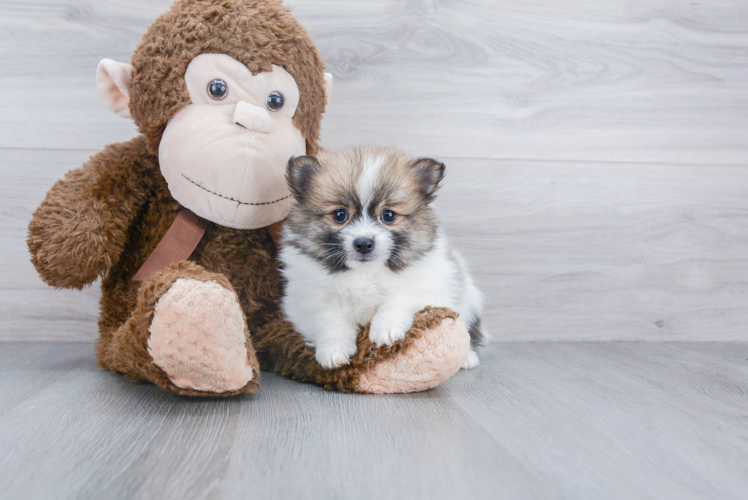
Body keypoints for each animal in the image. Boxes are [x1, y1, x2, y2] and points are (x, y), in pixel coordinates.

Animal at [278, 146, 482, 370]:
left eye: (388, 215)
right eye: (340, 215)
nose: (364, 243)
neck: (364, 273)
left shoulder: (426, 287)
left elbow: (396, 301)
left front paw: (386, 329)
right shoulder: (307, 302)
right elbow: (331, 322)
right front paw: (333, 351)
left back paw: (467, 358)